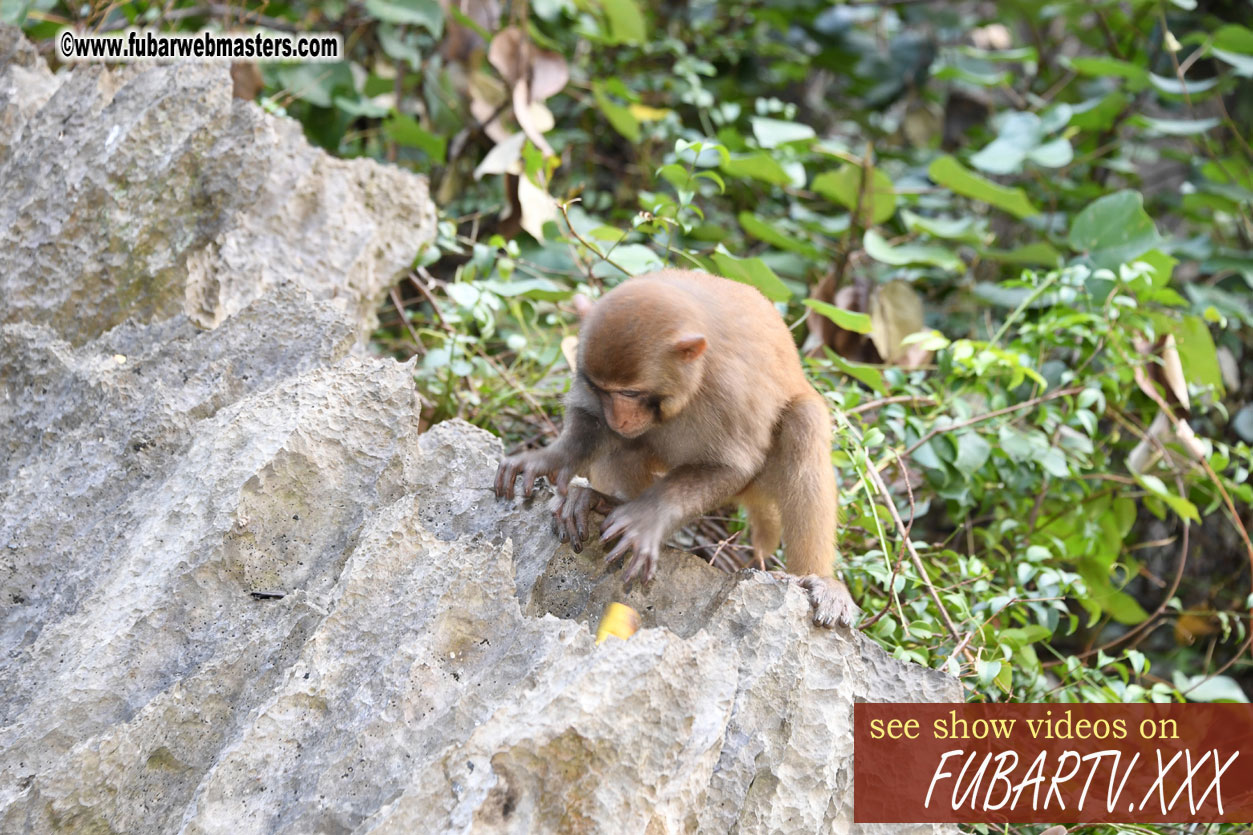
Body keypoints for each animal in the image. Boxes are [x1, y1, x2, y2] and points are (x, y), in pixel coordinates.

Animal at [493, 267, 857, 624]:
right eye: (601, 390)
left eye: (629, 393)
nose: (618, 418)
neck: (696, 375)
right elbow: (591, 420)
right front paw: (550, 458)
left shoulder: (730, 389)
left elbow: (730, 467)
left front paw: (648, 517)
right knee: (628, 442)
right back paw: (605, 501)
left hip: (762, 478)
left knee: (804, 423)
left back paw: (818, 578)